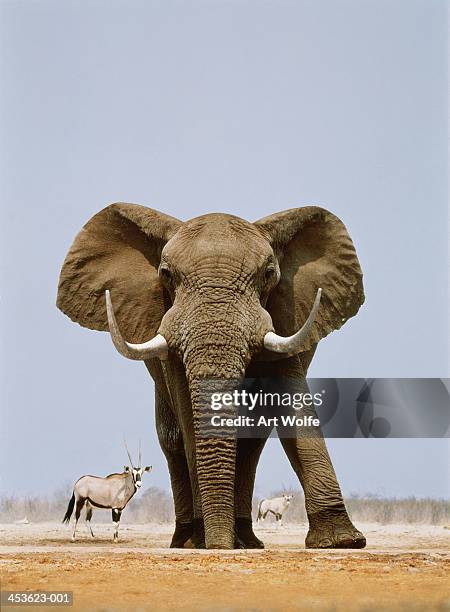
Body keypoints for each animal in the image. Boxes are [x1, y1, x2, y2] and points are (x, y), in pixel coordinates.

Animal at [57, 202, 366, 548]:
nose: (219, 545)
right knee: (172, 440)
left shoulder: (285, 315)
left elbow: (293, 406)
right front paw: (203, 541)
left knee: (252, 440)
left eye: (269, 274)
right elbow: (188, 420)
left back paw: (245, 541)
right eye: (165, 274)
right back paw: (189, 540)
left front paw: (343, 542)